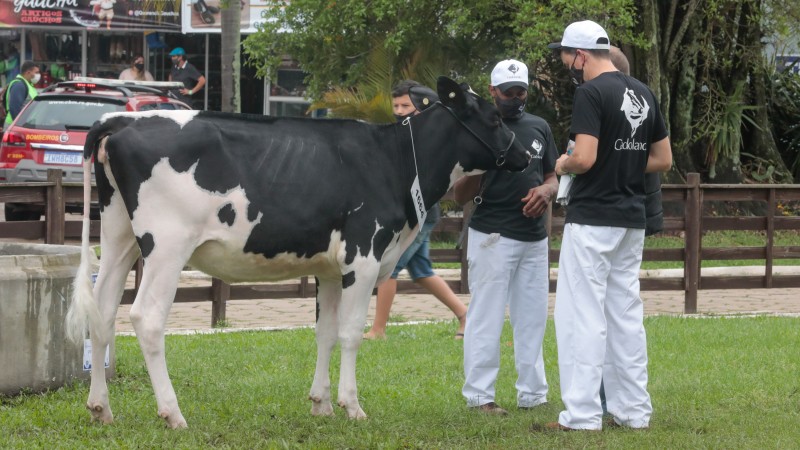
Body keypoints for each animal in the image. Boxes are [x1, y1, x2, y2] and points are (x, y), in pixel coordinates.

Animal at [65, 77, 532, 428]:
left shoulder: (329, 268)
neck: (395, 160)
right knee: (145, 317)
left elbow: (324, 332)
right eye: (493, 116)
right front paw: (351, 405)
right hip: (166, 245)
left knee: (103, 312)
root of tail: (119, 119)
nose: (526, 155)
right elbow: (350, 333)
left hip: (119, 235)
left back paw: (101, 408)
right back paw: (172, 413)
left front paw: (320, 403)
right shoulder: (363, 256)